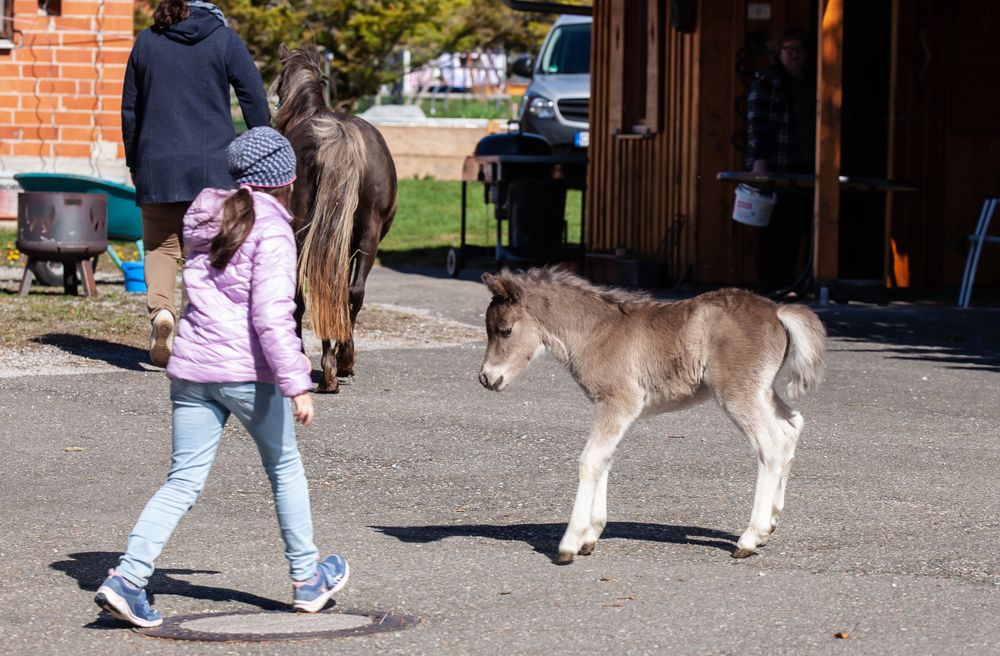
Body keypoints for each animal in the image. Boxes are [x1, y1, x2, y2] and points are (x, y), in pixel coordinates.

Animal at [478, 268, 828, 564]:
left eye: (505, 331)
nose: (486, 378)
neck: (597, 332)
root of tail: (777, 310)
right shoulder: (613, 409)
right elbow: (605, 459)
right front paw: (591, 535)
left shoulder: (618, 402)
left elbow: (590, 460)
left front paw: (570, 543)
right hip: (760, 390)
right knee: (791, 426)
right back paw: (770, 524)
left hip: (738, 393)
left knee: (770, 446)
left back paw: (750, 538)